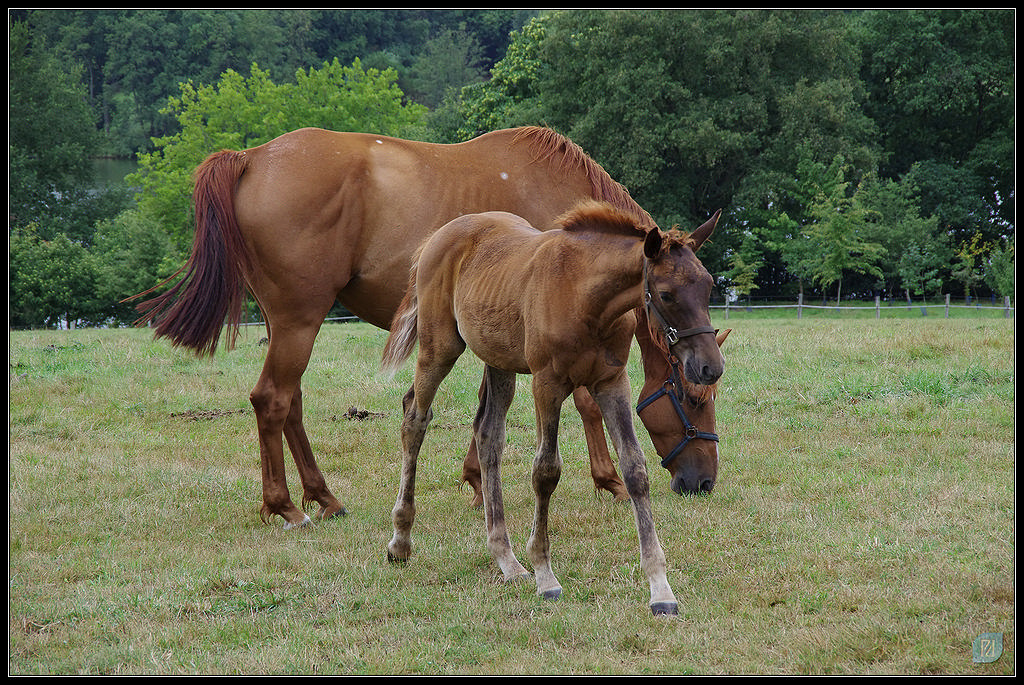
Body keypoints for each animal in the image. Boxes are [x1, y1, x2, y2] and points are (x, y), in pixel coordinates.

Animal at [134, 124, 720, 528]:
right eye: (692, 399)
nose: (704, 481)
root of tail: (251, 158)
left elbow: (491, 408)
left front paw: (479, 480)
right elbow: (582, 402)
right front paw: (609, 481)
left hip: (291, 324)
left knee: (289, 402)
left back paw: (322, 496)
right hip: (299, 320)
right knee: (272, 399)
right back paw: (284, 506)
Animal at [380, 200, 724, 610]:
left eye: (708, 286)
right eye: (668, 294)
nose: (711, 367)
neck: (585, 297)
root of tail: (437, 238)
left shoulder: (612, 383)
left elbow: (635, 469)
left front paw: (660, 589)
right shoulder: (547, 384)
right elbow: (546, 471)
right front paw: (545, 575)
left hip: (499, 360)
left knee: (488, 434)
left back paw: (506, 559)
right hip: (439, 349)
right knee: (415, 418)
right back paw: (400, 541)